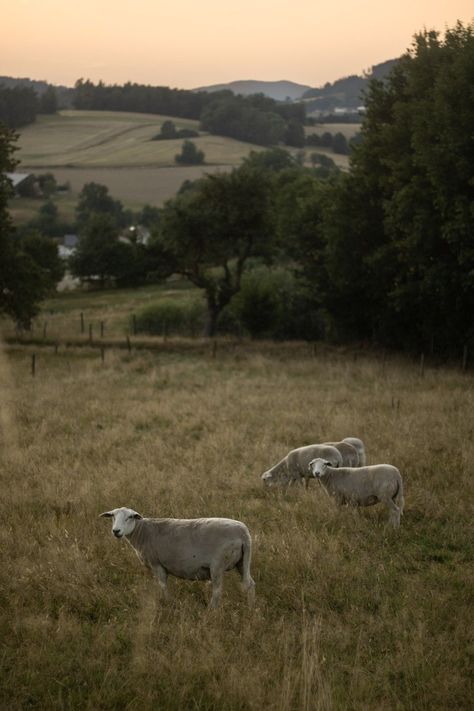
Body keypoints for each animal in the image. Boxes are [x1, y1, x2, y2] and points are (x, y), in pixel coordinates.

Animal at [99, 506, 256, 612]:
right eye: (113, 517)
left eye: (129, 517)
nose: (116, 531)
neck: (143, 532)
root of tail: (243, 533)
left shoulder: (157, 564)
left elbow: (162, 585)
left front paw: (167, 602)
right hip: (242, 563)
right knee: (249, 584)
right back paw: (251, 608)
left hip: (217, 564)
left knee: (217, 590)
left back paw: (211, 611)